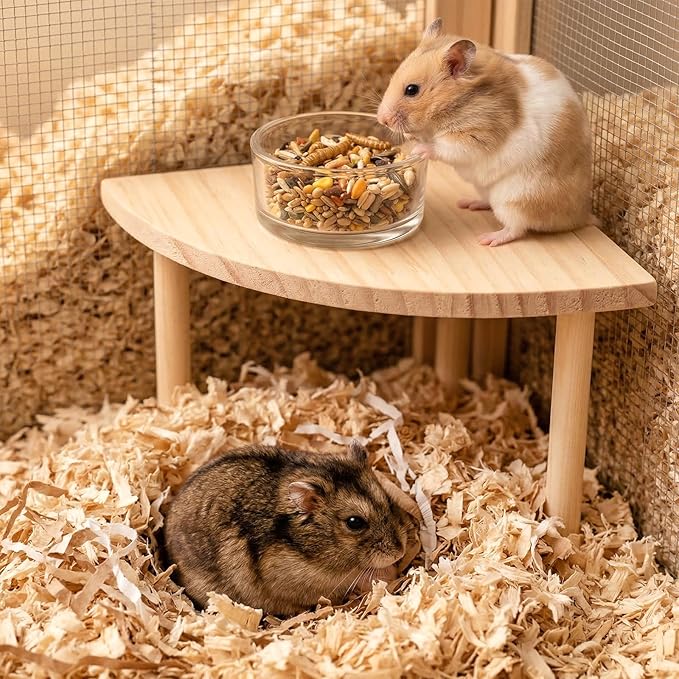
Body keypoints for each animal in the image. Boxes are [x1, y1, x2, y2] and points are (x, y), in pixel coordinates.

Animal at [377, 17, 595, 246]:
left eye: (412, 90)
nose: (381, 119)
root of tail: (580, 218)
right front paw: (410, 137)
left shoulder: (476, 134)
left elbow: (445, 147)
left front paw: (418, 150)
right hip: (488, 190)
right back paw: (469, 204)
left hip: (515, 200)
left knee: (517, 228)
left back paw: (488, 239)